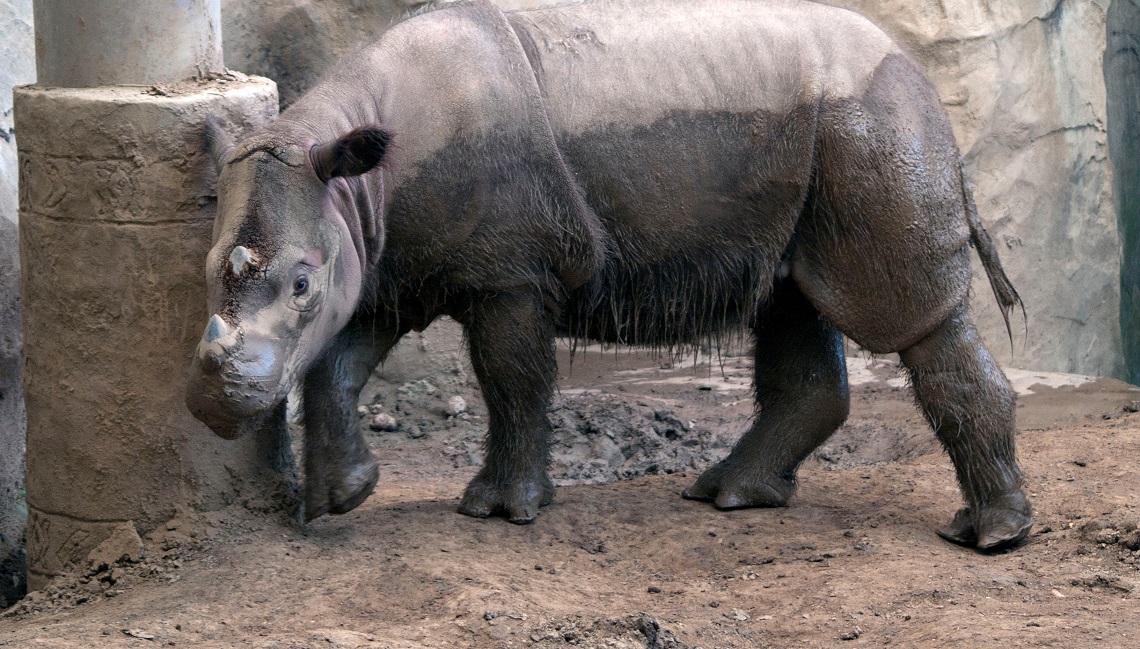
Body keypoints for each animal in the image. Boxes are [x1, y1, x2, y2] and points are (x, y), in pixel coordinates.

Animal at [184, 0, 1035, 549]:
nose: (213, 402)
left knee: (912, 320)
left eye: (300, 284)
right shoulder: (388, 261)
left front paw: (500, 512)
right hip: (819, 139)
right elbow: (336, 362)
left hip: (873, 124)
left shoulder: (508, 271)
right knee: (790, 297)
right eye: (204, 274)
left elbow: (510, 378)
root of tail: (924, 81)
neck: (354, 176)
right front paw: (341, 497)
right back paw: (727, 497)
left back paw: (988, 537)